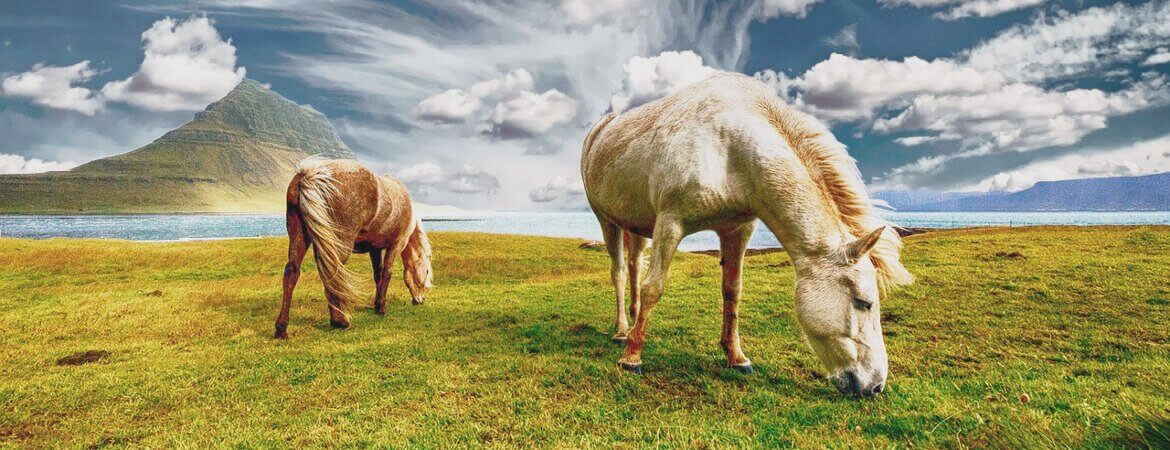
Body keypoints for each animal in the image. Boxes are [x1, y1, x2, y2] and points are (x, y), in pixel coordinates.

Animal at [276, 157, 432, 336]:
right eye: (427, 272)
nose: (420, 300)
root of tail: (311, 174)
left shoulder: (374, 249)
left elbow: (378, 275)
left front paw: (376, 305)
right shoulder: (397, 243)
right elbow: (387, 273)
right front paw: (381, 308)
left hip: (299, 236)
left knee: (292, 271)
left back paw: (281, 328)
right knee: (333, 273)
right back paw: (340, 321)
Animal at [580, 71, 907, 397]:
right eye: (863, 302)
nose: (875, 386)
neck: (729, 149)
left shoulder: (737, 230)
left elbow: (732, 292)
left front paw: (736, 356)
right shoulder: (670, 224)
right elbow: (654, 287)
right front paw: (632, 358)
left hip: (637, 226)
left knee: (635, 265)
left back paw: (634, 320)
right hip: (607, 220)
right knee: (621, 273)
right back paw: (623, 331)